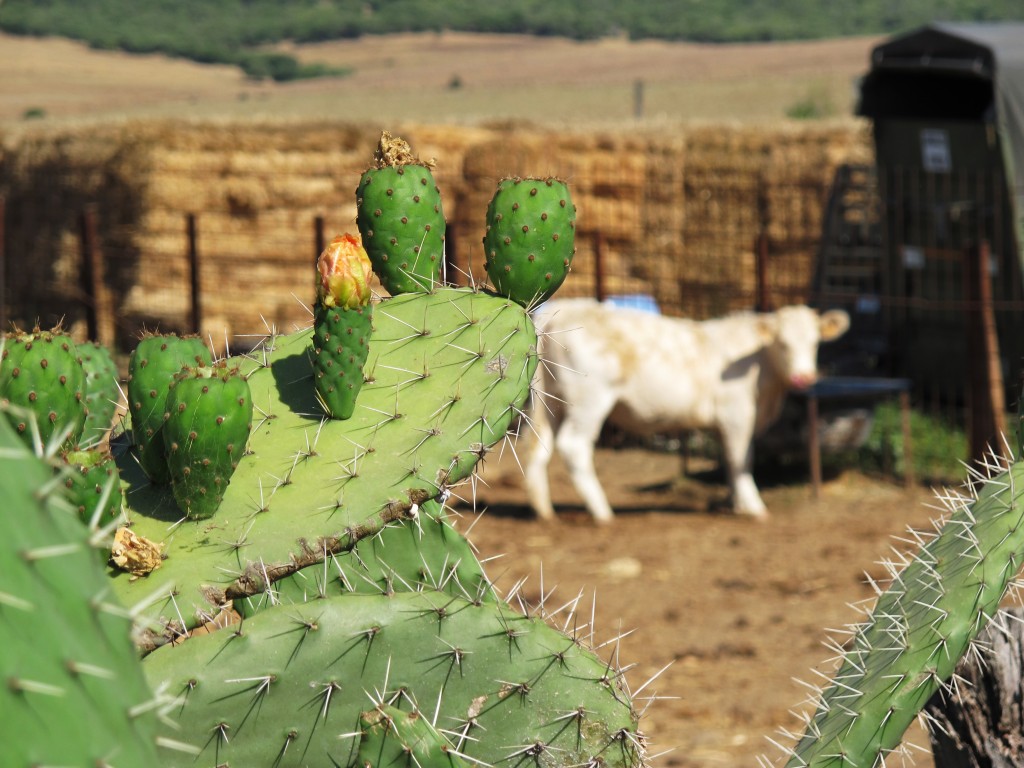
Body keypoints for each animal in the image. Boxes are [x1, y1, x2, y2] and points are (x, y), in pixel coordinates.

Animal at [524, 301, 851, 524]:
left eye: (815, 342)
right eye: (782, 343)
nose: (803, 378)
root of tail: (562, 309)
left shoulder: (723, 424)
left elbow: (728, 461)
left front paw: (734, 502)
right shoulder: (737, 414)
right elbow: (742, 459)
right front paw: (753, 506)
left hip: (551, 404)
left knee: (539, 447)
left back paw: (544, 511)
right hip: (589, 401)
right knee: (574, 446)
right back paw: (602, 511)